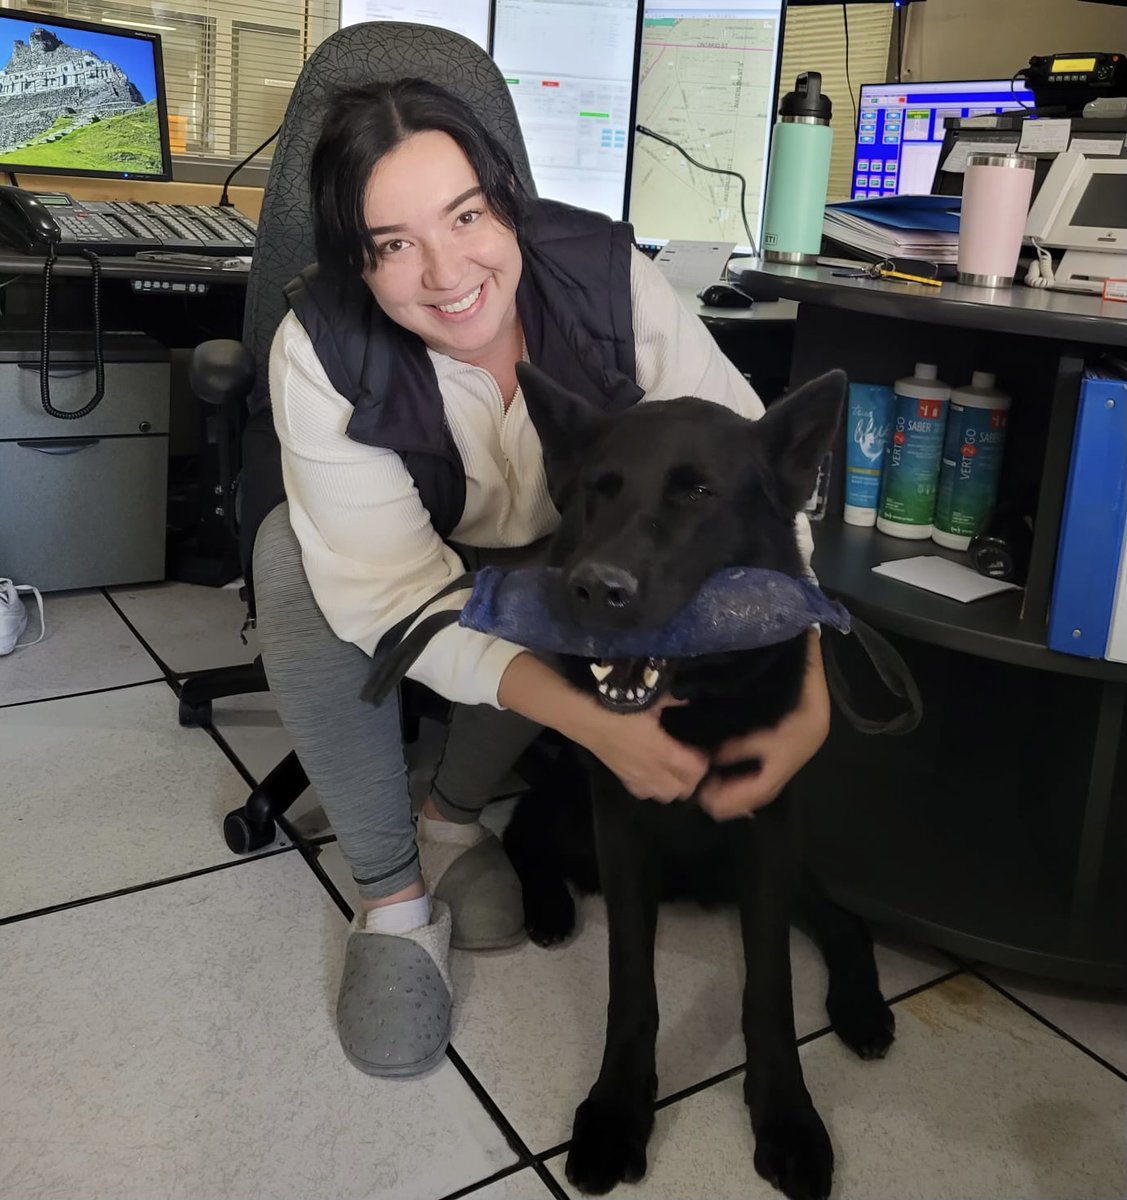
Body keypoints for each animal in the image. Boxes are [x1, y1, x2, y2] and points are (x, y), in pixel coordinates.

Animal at [506, 362, 892, 1200]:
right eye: (599, 491)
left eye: (698, 494)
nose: (595, 588)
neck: (696, 702)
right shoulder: (618, 828)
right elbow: (630, 986)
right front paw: (617, 1108)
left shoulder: (766, 832)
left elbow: (769, 992)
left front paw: (786, 1116)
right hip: (572, 818)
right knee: (520, 831)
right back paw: (546, 904)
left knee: (844, 921)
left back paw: (860, 1009)